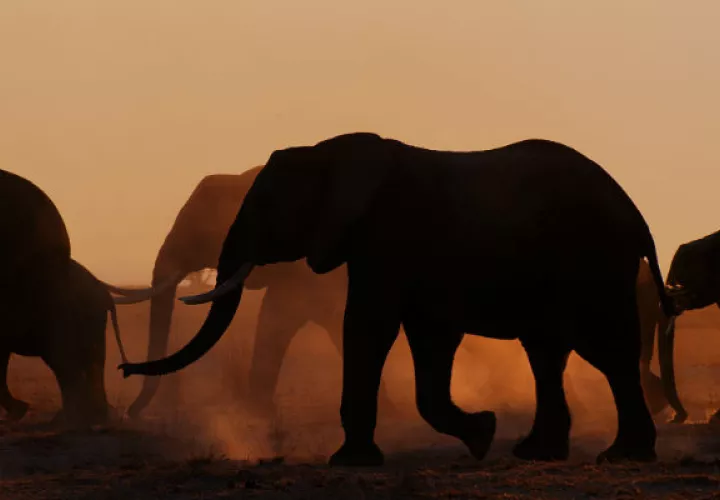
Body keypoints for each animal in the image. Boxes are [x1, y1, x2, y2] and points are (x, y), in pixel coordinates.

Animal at [119, 132, 679, 466]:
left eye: (265, 207)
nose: (124, 373)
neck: (330, 153)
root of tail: (636, 213)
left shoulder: (385, 241)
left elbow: (366, 327)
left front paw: (350, 461)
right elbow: (423, 337)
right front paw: (481, 433)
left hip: (594, 262)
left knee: (605, 349)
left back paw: (623, 455)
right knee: (548, 352)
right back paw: (538, 452)